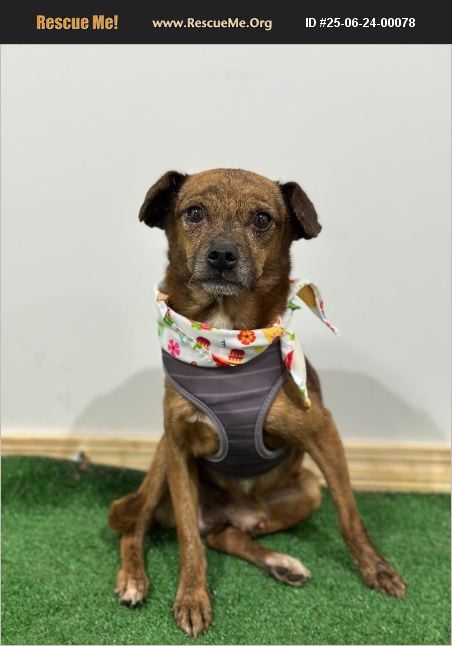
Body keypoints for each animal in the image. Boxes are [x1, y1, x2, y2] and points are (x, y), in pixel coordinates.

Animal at [109, 168, 406, 637]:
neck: (226, 338)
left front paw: (377, 570)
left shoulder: (324, 434)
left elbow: (350, 515)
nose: (222, 256)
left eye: (262, 219)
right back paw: (134, 579)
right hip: (159, 462)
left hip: (306, 490)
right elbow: (188, 542)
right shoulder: (177, 448)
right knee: (140, 525)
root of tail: (232, 512)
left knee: (224, 536)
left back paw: (279, 562)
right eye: (194, 212)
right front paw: (192, 597)